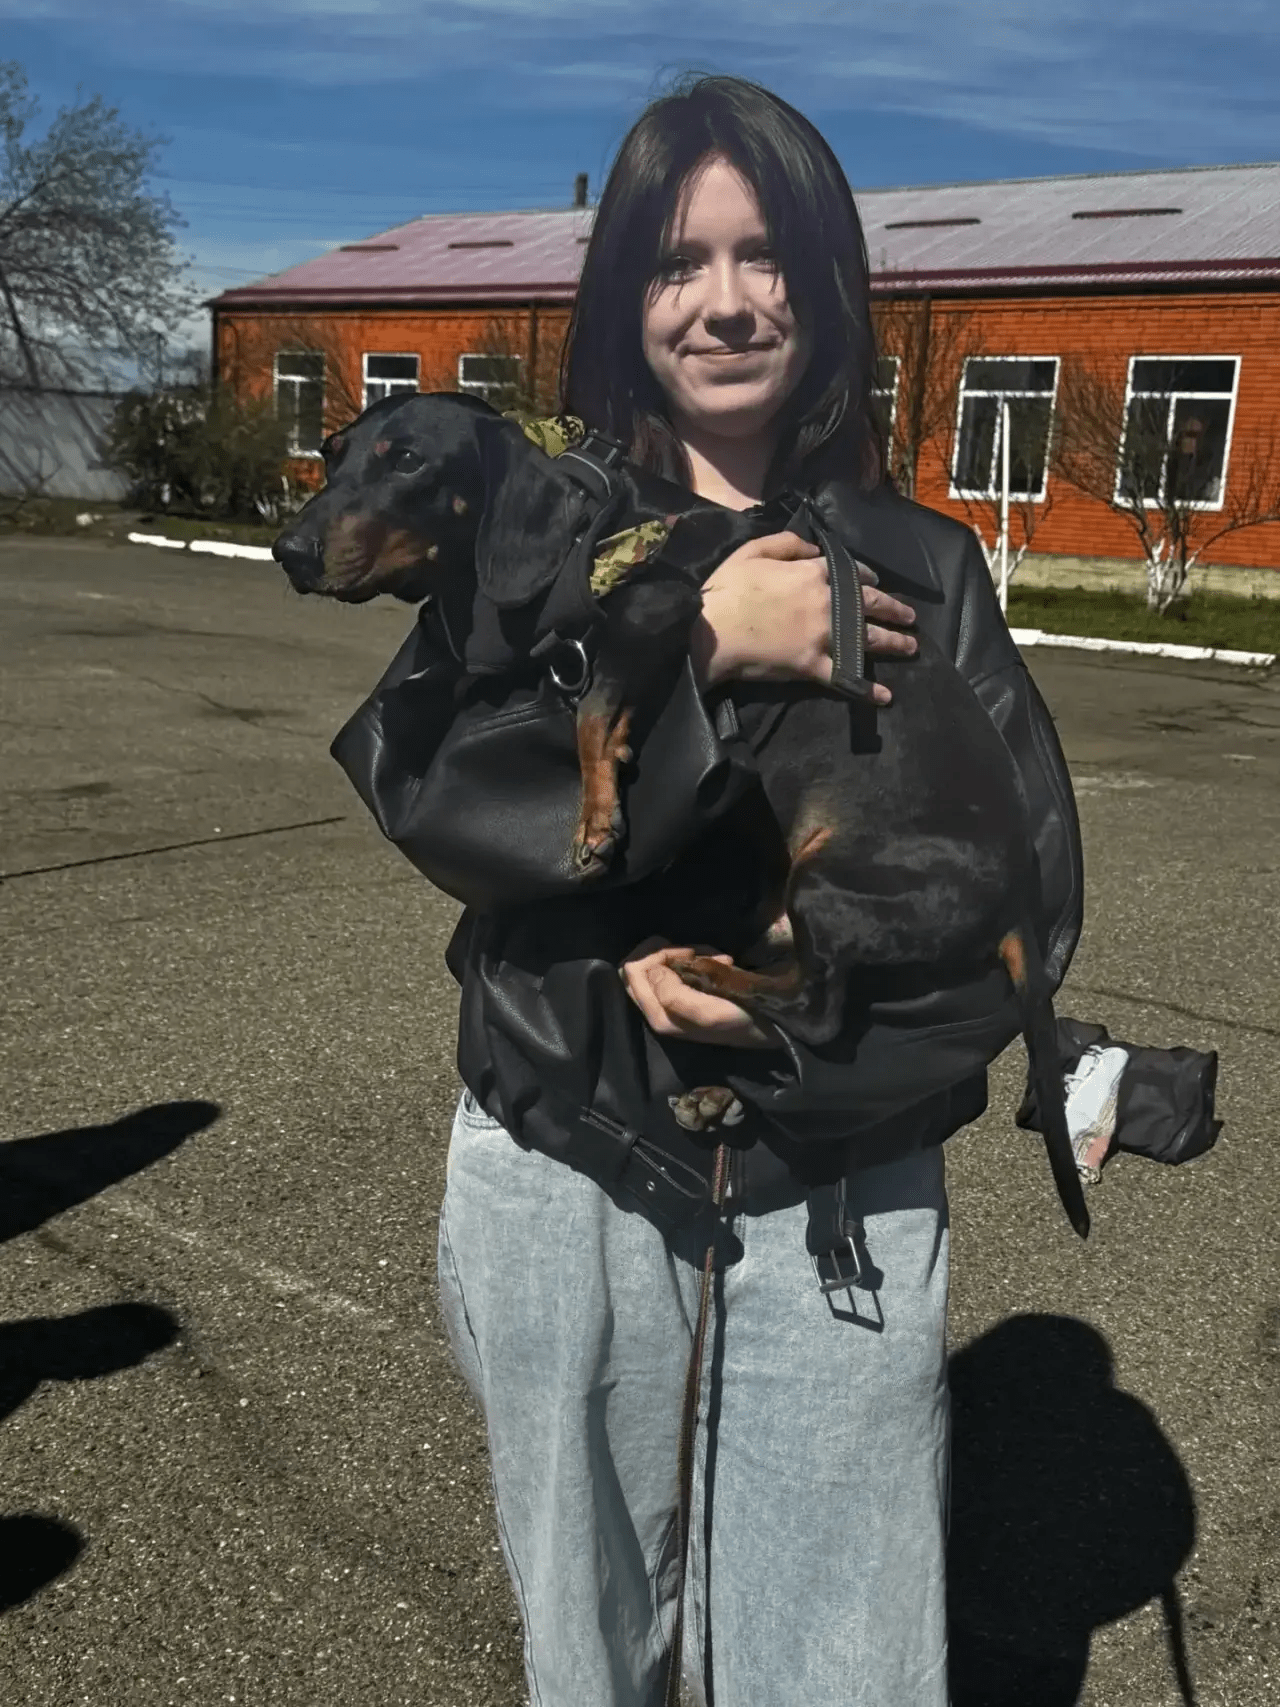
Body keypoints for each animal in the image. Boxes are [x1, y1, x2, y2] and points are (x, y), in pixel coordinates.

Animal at [274, 391, 1089, 1239]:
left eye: (407, 461)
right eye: (331, 455)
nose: (288, 550)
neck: (593, 519)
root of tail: (1019, 907)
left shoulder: (659, 602)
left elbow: (591, 707)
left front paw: (597, 818)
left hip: (832, 878)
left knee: (818, 1011)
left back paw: (705, 973)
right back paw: (720, 1083)